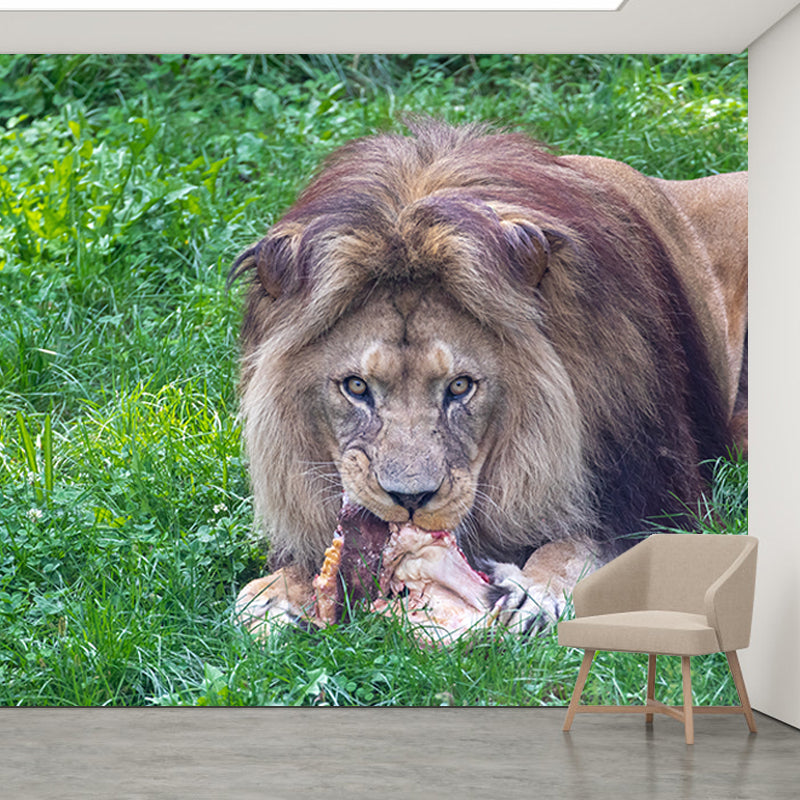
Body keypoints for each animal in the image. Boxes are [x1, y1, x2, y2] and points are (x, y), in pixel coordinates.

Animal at [231, 121, 747, 636]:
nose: (411, 499)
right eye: (356, 387)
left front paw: (535, 589)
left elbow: (578, 545)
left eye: (460, 387)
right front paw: (273, 594)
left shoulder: (654, 500)